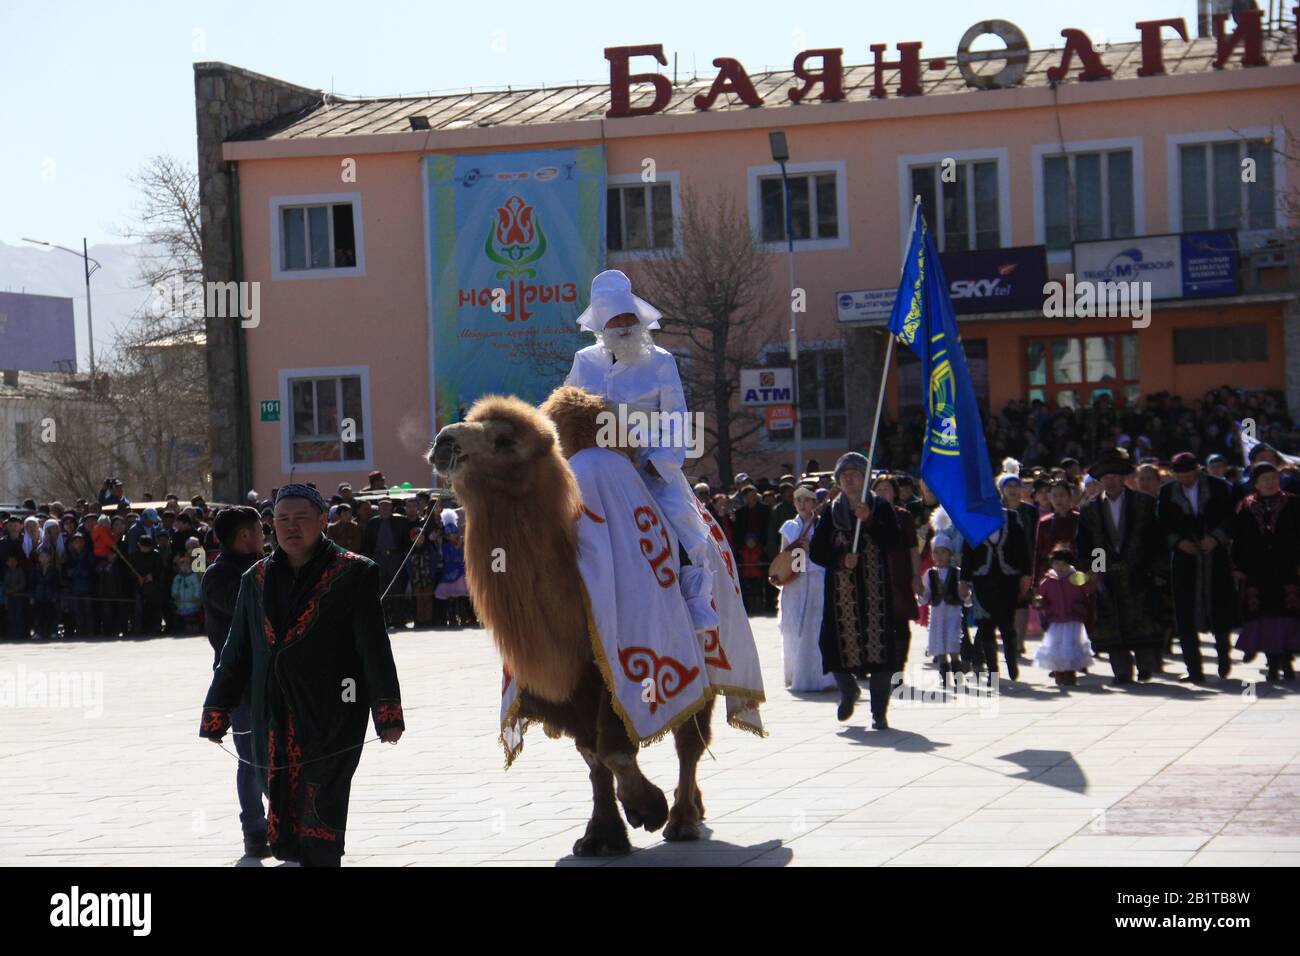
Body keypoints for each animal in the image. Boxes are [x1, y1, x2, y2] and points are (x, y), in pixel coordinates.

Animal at [428, 385, 712, 858]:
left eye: (504, 440)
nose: (443, 441)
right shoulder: (572, 688)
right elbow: (592, 757)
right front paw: (602, 835)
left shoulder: (617, 677)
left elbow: (614, 750)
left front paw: (647, 808)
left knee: (690, 739)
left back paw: (683, 820)